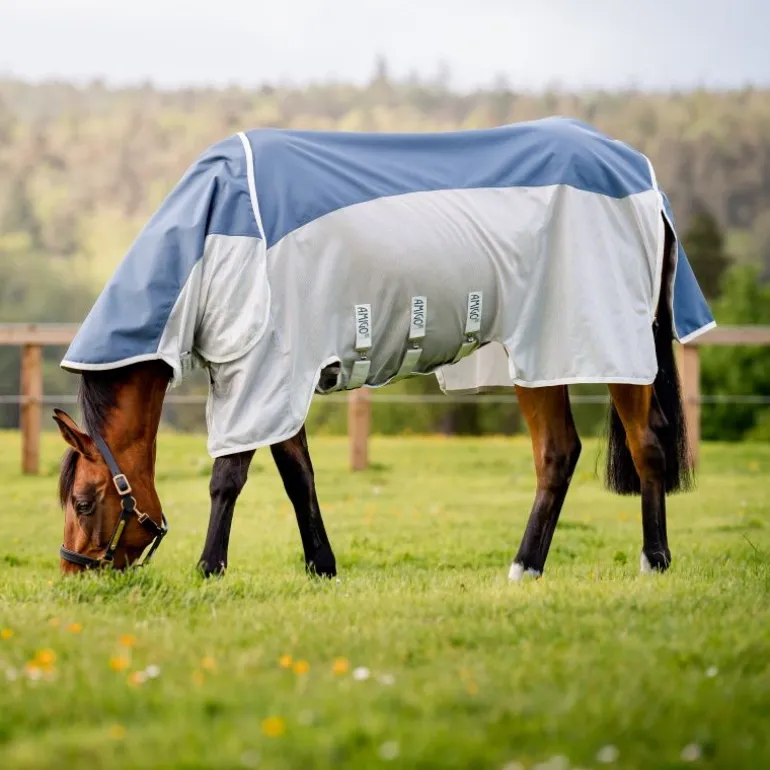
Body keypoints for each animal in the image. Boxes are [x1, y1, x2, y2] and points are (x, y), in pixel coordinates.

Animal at [53, 117, 714, 578]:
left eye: (84, 501)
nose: (72, 574)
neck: (214, 235)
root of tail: (643, 181)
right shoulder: (283, 378)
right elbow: (298, 475)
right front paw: (322, 567)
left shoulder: (263, 371)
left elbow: (228, 476)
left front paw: (209, 569)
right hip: (540, 356)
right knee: (560, 453)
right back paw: (528, 567)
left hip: (608, 344)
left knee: (644, 445)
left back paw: (650, 559)